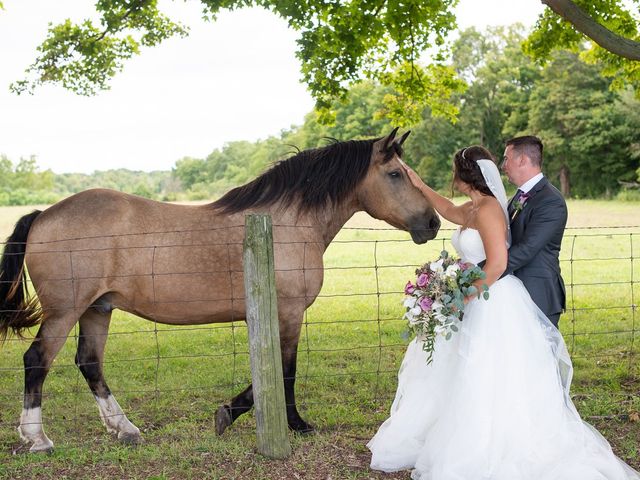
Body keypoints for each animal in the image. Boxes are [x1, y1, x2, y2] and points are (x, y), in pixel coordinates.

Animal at [0, 127, 440, 450]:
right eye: (396, 174)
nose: (433, 223)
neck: (285, 223)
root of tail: (44, 215)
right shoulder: (288, 314)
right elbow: (286, 371)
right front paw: (290, 423)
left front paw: (233, 411)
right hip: (66, 311)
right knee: (37, 361)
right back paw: (37, 438)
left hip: (98, 309)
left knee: (89, 363)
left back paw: (125, 429)